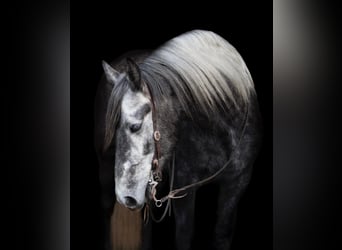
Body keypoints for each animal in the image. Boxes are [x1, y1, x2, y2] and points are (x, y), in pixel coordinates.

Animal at [93, 29, 262, 250]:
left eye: (135, 126)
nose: (126, 198)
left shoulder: (237, 183)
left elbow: (222, 234)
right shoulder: (184, 188)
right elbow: (184, 236)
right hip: (107, 169)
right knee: (106, 209)